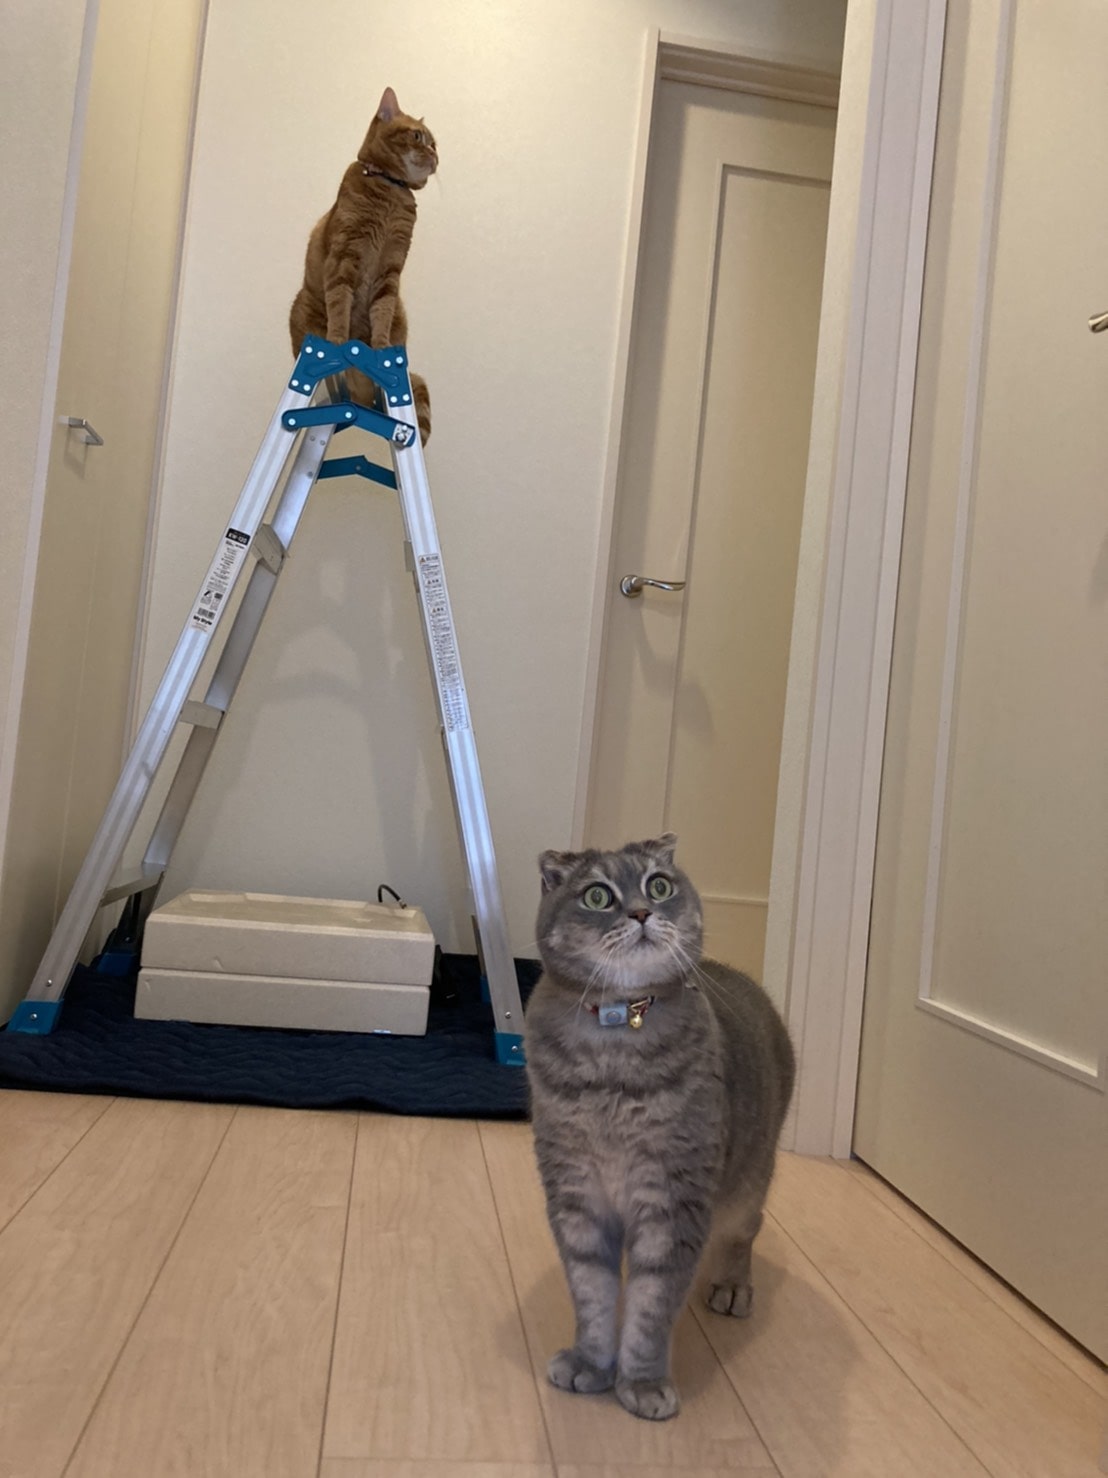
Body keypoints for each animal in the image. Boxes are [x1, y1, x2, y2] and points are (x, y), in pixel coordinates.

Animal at [289, 87, 436, 444]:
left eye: (435, 143)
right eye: (417, 136)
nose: (435, 154)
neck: (391, 191)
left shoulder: (391, 269)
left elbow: (380, 311)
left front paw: (380, 347)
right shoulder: (344, 257)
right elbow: (340, 303)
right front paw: (340, 341)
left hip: (401, 318)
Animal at [524, 833, 795, 1422]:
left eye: (660, 886)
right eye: (598, 896)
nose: (642, 912)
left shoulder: (674, 1199)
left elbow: (651, 1304)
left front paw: (642, 1383)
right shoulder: (575, 1194)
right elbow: (592, 1291)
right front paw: (590, 1363)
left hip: (746, 1184)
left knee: (747, 1228)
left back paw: (731, 1286)